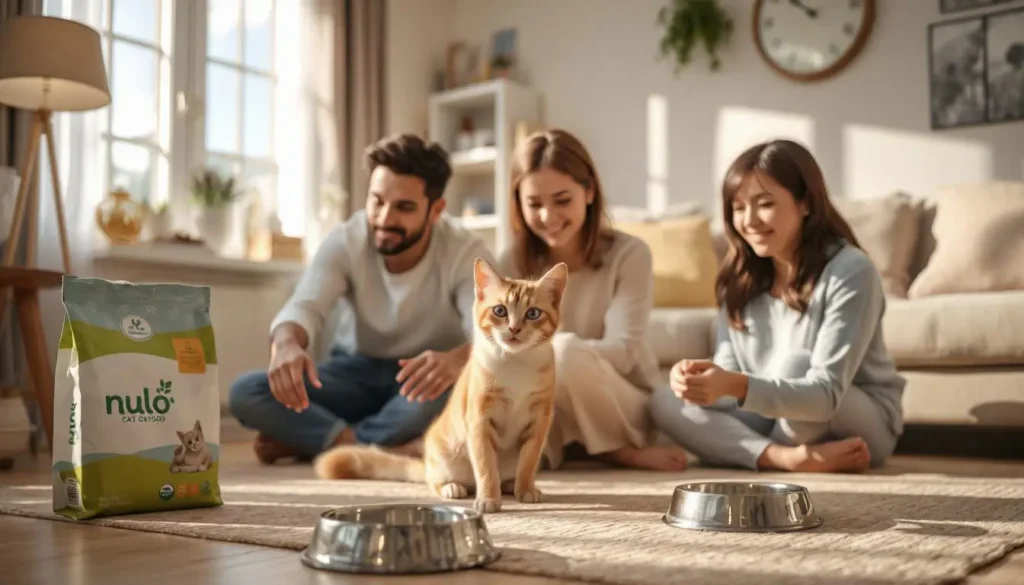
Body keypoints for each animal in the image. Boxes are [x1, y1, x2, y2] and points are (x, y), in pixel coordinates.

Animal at [311, 258, 569, 514]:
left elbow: (528, 461)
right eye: (500, 311)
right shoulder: (479, 420)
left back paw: (508, 484)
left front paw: (524, 488)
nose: (514, 329)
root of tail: (427, 463)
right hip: (444, 458)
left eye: (533, 313)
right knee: (436, 482)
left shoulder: (540, 420)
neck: (516, 364)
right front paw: (488, 498)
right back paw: (452, 487)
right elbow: (486, 466)